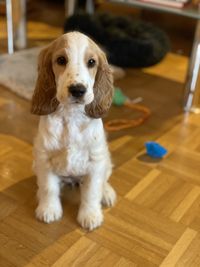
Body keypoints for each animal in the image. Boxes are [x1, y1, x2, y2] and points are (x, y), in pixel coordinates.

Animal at [30, 31, 116, 232]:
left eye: (91, 62)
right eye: (61, 60)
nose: (78, 90)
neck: (71, 116)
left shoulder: (95, 162)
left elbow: (92, 191)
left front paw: (90, 216)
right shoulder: (44, 159)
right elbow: (49, 187)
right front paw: (49, 209)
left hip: (106, 160)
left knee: (104, 179)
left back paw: (107, 193)